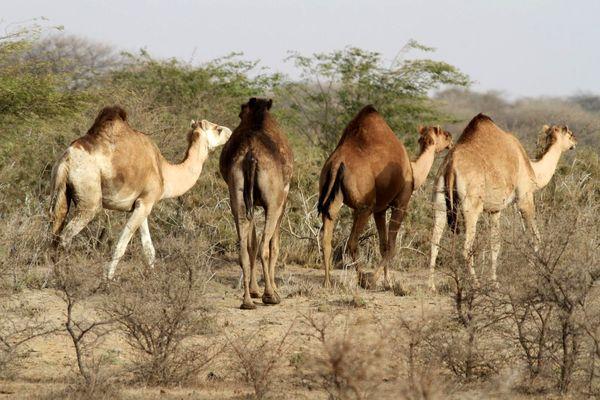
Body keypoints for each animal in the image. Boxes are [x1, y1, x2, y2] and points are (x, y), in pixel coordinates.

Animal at [50, 108, 232, 280]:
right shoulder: (146, 202)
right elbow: (120, 246)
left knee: (55, 233)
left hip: (61, 193)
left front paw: (153, 278)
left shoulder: (142, 203)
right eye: (217, 129)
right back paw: (66, 277)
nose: (230, 132)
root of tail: (68, 158)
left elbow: (149, 249)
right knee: (65, 237)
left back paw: (57, 275)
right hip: (89, 199)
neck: (164, 172)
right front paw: (107, 280)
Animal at [220, 97, 296, 310]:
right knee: (264, 247)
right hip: (273, 202)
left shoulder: (251, 203)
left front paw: (255, 291)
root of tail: (251, 155)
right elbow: (274, 245)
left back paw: (247, 300)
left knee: (243, 249)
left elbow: (251, 243)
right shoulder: (282, 198)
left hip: (237, 197)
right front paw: (272, 289)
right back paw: (270, 295)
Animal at [318, 104, 450, 290]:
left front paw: (387, 280)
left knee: (326, 238)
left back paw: (328, 282)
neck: (414, 171)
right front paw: (378, 280)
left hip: (334, 200)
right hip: (364, 207)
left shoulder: (379, 210)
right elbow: (391, 246)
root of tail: (337, 164)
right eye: (443, 134)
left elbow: (383, 245)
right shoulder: (401, 202)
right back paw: (363, 280)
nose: (451, 138)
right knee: (352, 242)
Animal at [426, 114, 576, 290]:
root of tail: (450, 166)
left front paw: (495, 282)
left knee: (434, 242)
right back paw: (476, 284)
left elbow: (495, 244)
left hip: (440, 200)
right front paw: (534, 271)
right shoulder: (525, 197)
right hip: (471, 206)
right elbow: (536, 237)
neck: (533, 169)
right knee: (466, 247)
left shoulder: (495, 209)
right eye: (570, 134)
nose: (575, 142)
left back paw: (431, 285)